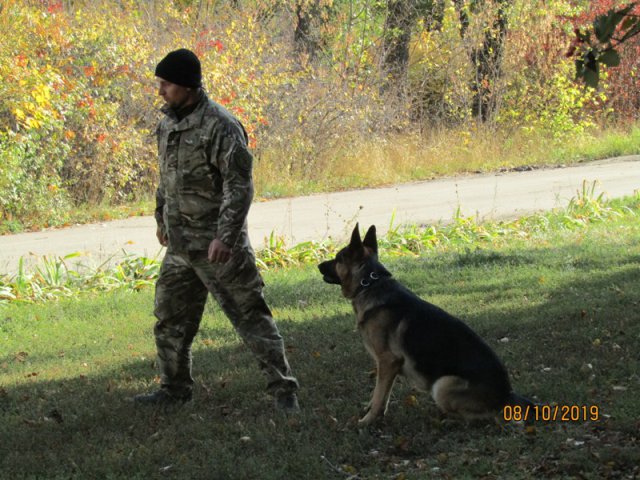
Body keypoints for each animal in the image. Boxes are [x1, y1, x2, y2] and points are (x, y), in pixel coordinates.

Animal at [318, 224, 532, 424]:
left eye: (338, 259)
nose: (319, 265)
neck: (369, 285)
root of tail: (507, 396)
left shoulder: (388, 361)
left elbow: (379, 395)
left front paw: (367, 421)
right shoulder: (386, 367)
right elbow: (379, 394)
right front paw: (371, 412)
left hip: (443, 385)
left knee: (484, 418)